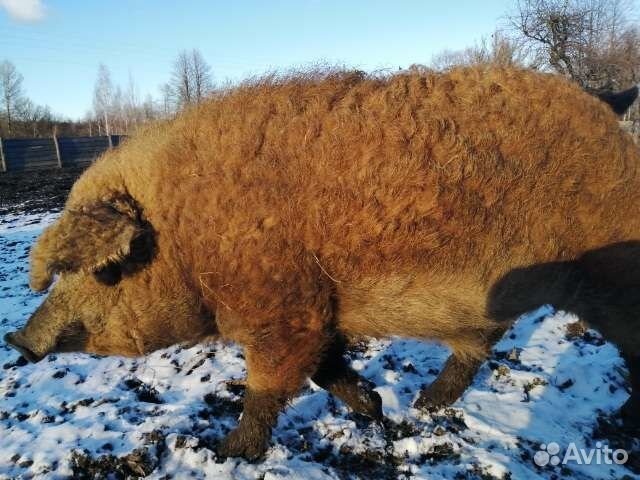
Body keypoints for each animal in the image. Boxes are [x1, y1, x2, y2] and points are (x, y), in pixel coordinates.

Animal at [5, 66, 640, 458]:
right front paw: (376, 411)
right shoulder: (318, 307)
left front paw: (228, 453)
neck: (190, 240)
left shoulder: (283, 308)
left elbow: (270, 384)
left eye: (105, 270)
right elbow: (325, 367)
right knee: (484, 340)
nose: (17, 340)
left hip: (611, 275)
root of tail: (609, 114)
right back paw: (425, 404)